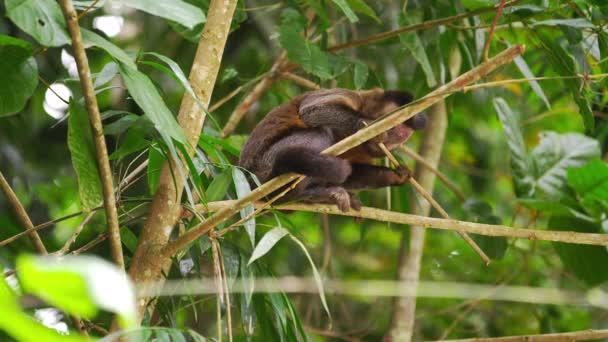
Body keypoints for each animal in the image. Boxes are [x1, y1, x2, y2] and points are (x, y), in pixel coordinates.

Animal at [239, 87, 428, 211]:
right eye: (393, 125)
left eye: (401, 137)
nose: (390, 141)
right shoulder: (351, 96)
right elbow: (311, 110)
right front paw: (362, 124)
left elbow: (352, 174)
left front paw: (395, 176)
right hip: (264, 168)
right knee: (321, 135)